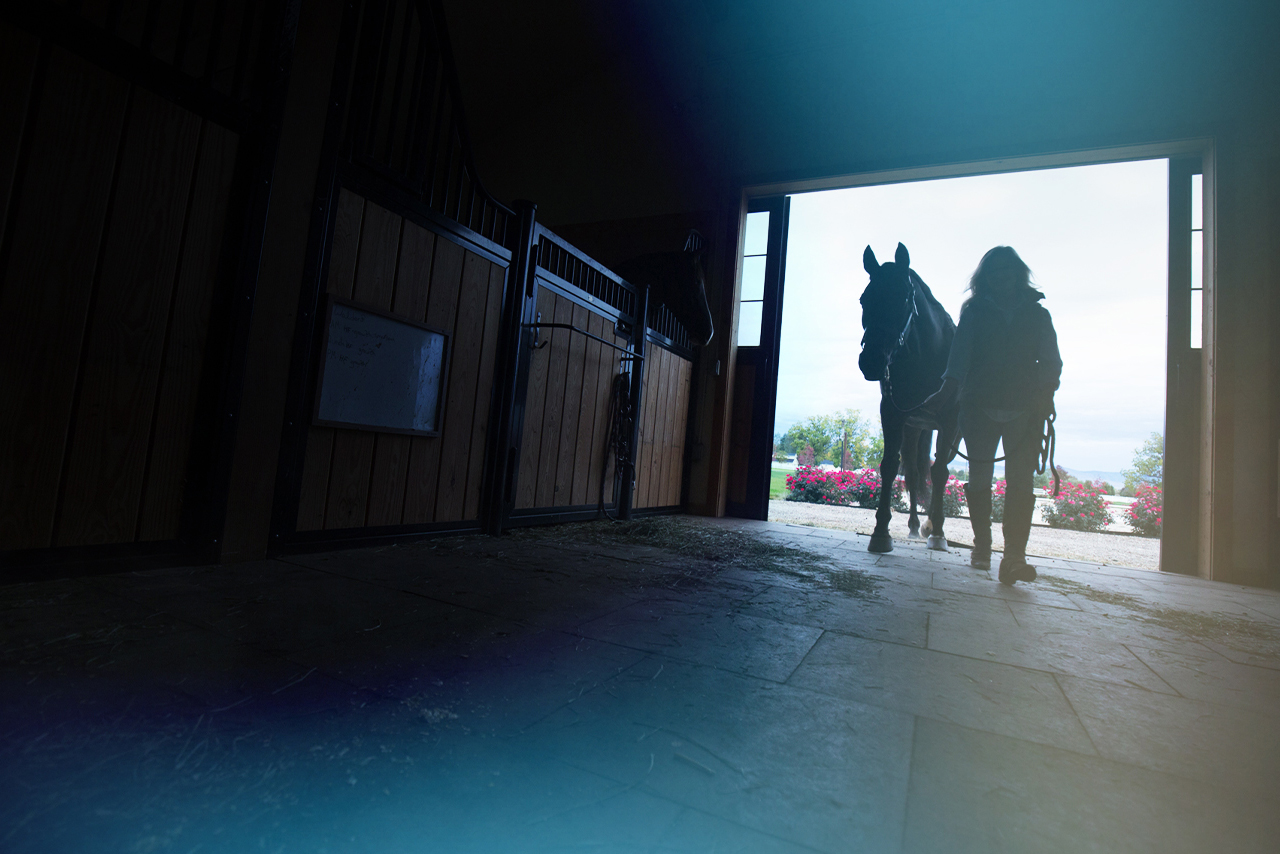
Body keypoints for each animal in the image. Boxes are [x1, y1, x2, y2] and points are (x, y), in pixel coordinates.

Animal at [860, 243, 962, 558]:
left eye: (904, 297)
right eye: (864, 299)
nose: (871, 362)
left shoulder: (950, 422)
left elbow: (940, 472)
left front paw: (938, 531)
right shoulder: (893, 414)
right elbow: (890, 466)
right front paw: (881, 532)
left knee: (938, 469)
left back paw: (930, 524)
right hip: (915, 428)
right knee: (915, 473)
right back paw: (916, 525)